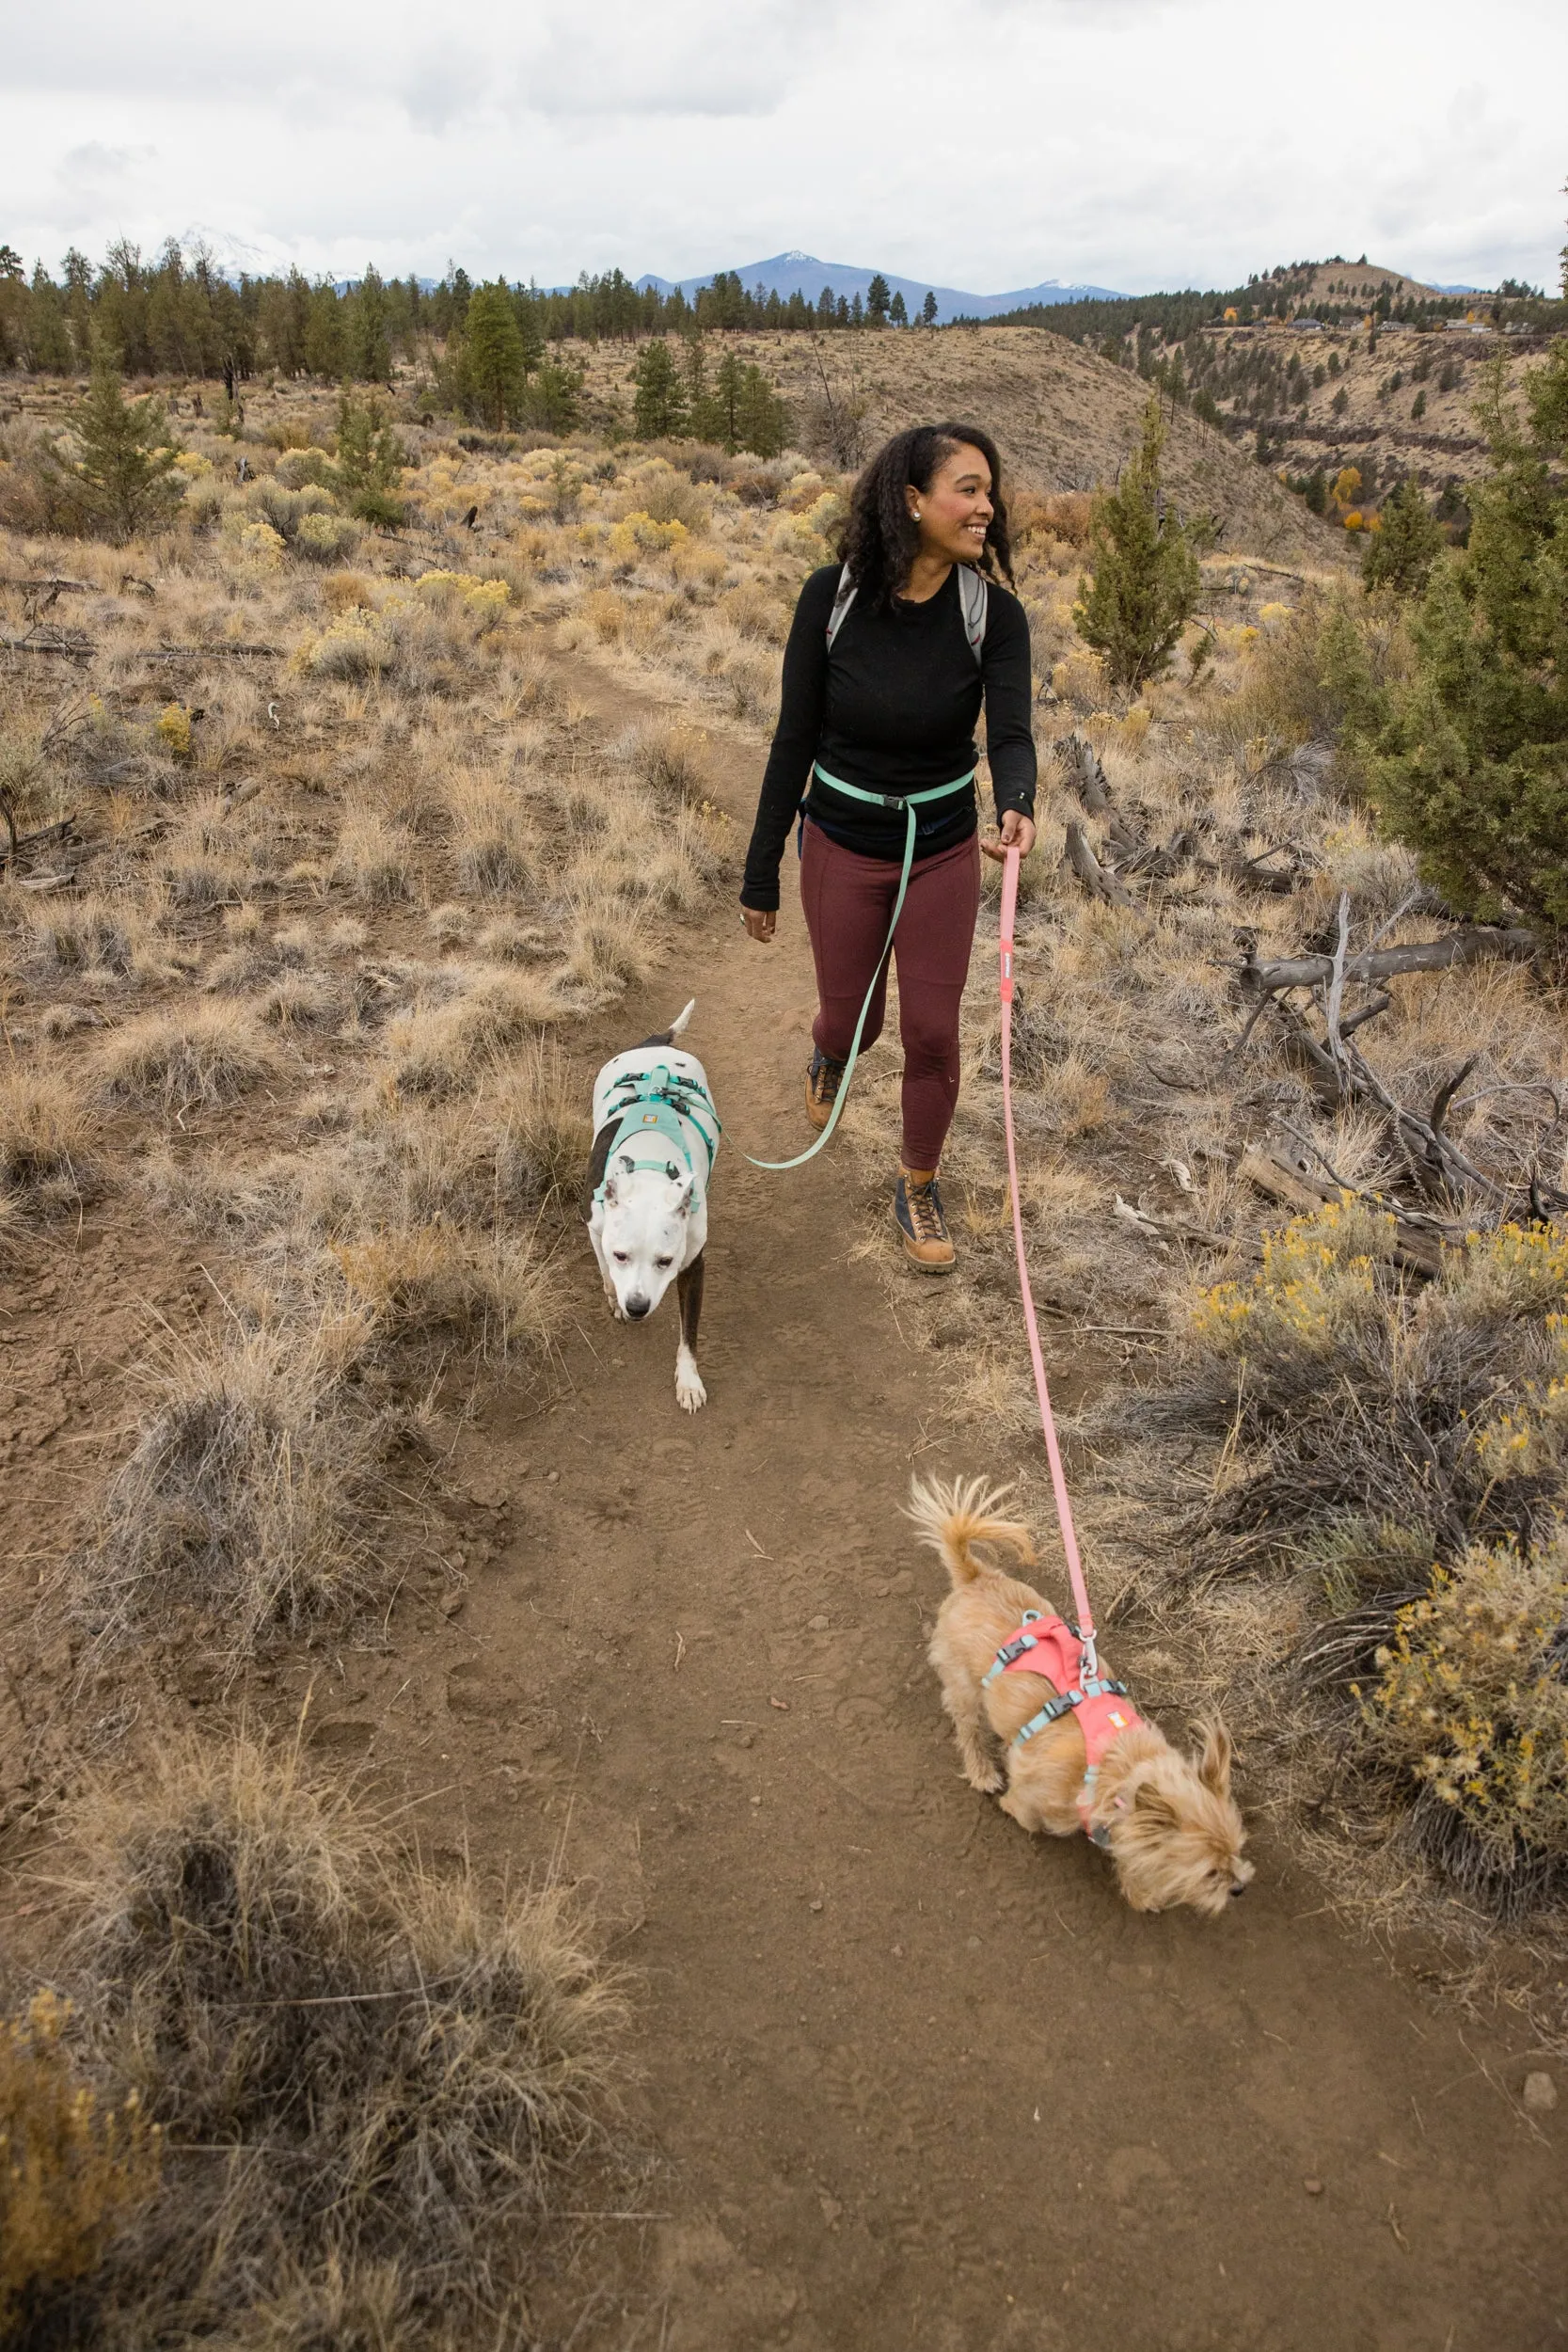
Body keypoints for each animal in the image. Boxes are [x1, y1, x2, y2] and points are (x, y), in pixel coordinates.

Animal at [585, 997, 714, 1411]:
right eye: (621, 1255)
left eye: (665, 1261)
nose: (638, 1306)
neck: (651, 1167)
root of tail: (657, 1043)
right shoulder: (595, 1226)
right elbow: (604, 1269)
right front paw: (613, 1296)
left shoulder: (692, 1265)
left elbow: (689, 1332)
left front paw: (688, 1380)